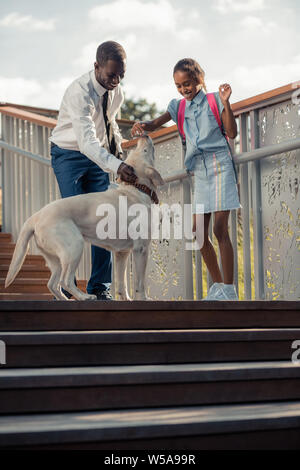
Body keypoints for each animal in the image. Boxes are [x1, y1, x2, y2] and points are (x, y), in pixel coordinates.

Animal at [5, 137, 164, 302]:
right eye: (144, 150)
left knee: (52, 285)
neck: (136, 188)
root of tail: (37, 215)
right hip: (75, 246)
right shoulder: (141, 249)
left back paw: (66, 299)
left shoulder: (122, 253)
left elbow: (122, 284)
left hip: (56, 260)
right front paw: (144, 298)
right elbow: (140, 282)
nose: (143, 136)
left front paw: (127, 300)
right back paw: (84, 297)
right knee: (65, 281)